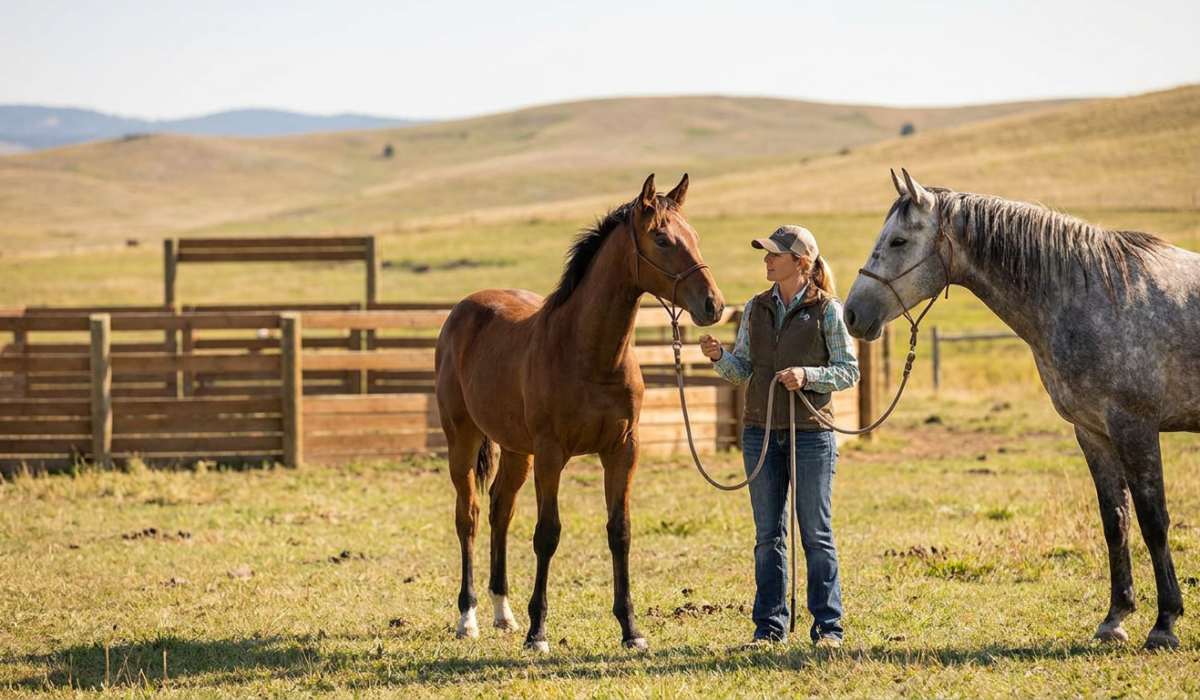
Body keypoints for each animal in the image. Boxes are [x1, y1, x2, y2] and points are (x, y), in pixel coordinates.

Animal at [434, 174, 725, 652]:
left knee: (500, 510)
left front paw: (630, 629)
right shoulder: (552, 454)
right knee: (470, 516)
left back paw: (503, 613)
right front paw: (537, 633)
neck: (590, 354)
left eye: (696, 236)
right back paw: (469, 618)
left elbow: (619, 531)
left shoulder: (623, 451)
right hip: (463, 440)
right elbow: (547, 534)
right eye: (662, 239)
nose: (713, 305)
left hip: (517, 450)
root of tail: (464, 310)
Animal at [843, 168, 1200, 650]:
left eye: (899, 241)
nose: (851, 314)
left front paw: (1165, 623)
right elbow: (1116, 521)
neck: (1099, 296)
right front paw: (1115, 619)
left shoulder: (1135, 426)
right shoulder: (1094, 432)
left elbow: (1154, 521)